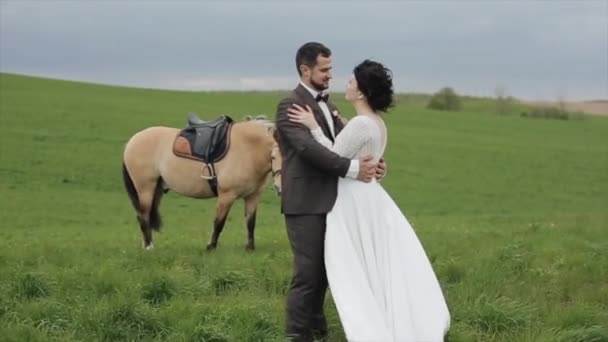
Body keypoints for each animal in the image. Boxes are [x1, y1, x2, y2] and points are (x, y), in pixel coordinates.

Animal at [121, 115, 282, 251]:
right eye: (273, 156)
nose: (279, 187)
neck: (247, 149)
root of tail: (133, 140)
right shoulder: (226, 195)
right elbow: (219, 223)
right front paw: (211, 247)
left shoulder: (253, 197)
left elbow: (250, 223)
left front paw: (250, 248)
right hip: (145, 188)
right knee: (143, 216)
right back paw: (148, 247)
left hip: (157, 189)